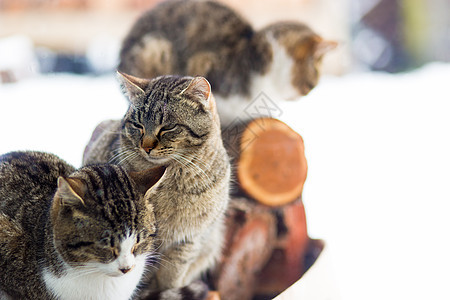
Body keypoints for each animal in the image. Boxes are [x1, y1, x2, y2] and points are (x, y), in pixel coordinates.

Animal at [83, 74, 232, 294]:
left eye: (168, 127)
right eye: (138, 125)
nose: (146, 146)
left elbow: (172, 277)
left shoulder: (190, 239)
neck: (174, 182)